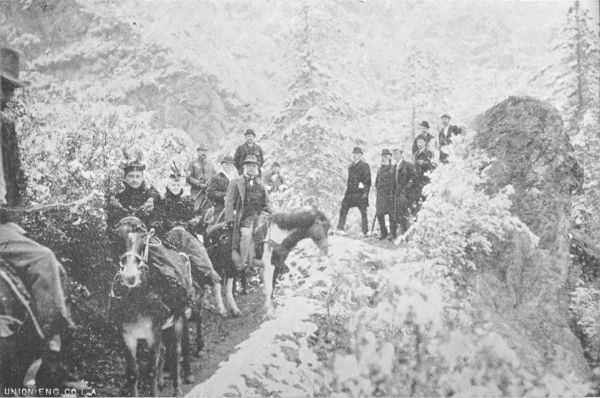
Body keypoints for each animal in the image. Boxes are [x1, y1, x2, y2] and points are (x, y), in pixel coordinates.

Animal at [109, 216, 191, 396]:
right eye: (117, 238)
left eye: (144, 239)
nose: (130, 275)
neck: (137, 301)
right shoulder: (127, 336)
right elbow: (133, 374)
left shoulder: (153, 333)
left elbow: (151, 371)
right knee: (164, 351)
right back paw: (161, 382)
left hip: (178, 321)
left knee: (176, 352)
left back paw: (177, 389)